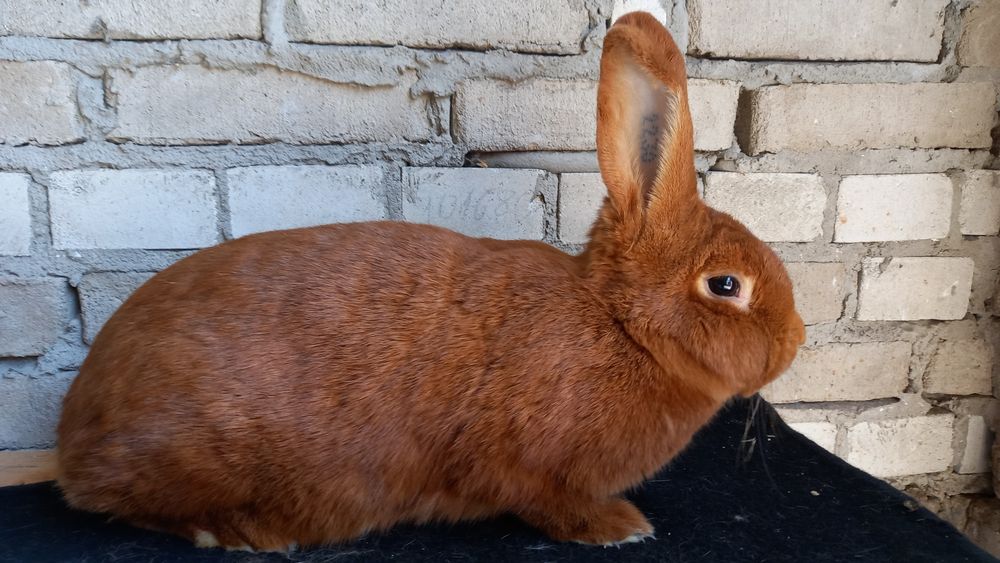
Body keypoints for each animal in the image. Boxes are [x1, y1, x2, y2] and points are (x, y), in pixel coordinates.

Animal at [56, 11, 804, 552]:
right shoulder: (522, 462)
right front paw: (619, 526)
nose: (796, 339)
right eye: (727, 286)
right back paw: (241, 532)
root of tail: (72, 436)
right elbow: (545, 500)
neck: (618, 324)